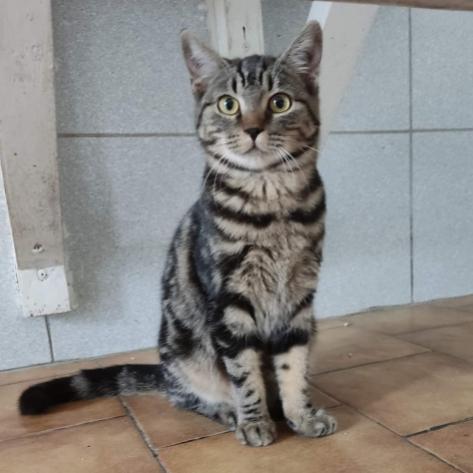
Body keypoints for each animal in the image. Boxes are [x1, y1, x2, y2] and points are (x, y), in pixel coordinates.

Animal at [19, 21, 336, 447]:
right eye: (228, 105)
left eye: (280, 102)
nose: (253, 129)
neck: (272, 204)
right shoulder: (230, 302)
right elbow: (245, 372)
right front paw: (254, 420)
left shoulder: (301, 297)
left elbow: (293, 366)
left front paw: (301, 414)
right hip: (183, 355)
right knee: (184, 396)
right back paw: (228, 411)